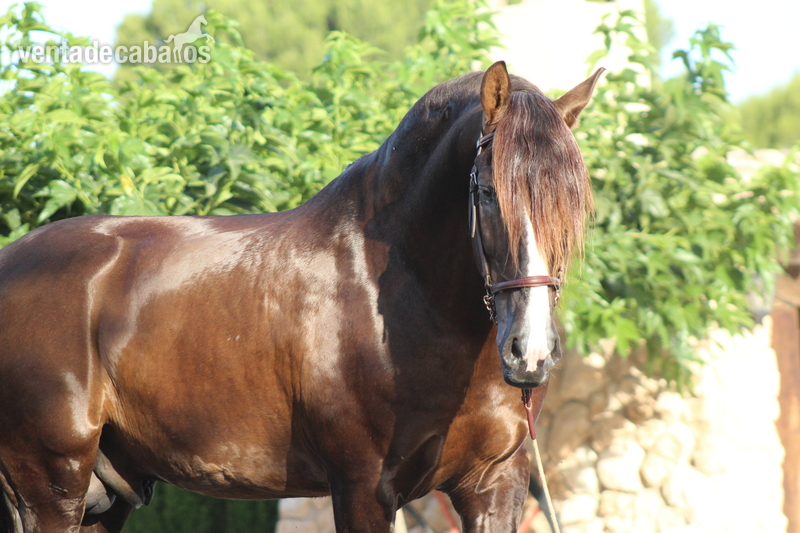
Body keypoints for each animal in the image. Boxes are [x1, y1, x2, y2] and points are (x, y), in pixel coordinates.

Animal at [0, 61, 601, 533]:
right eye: (487, 192)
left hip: (105, 493)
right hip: (52, 487)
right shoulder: (363, 487)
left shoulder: (494, 485)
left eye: (574, 202)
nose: (530, 353)